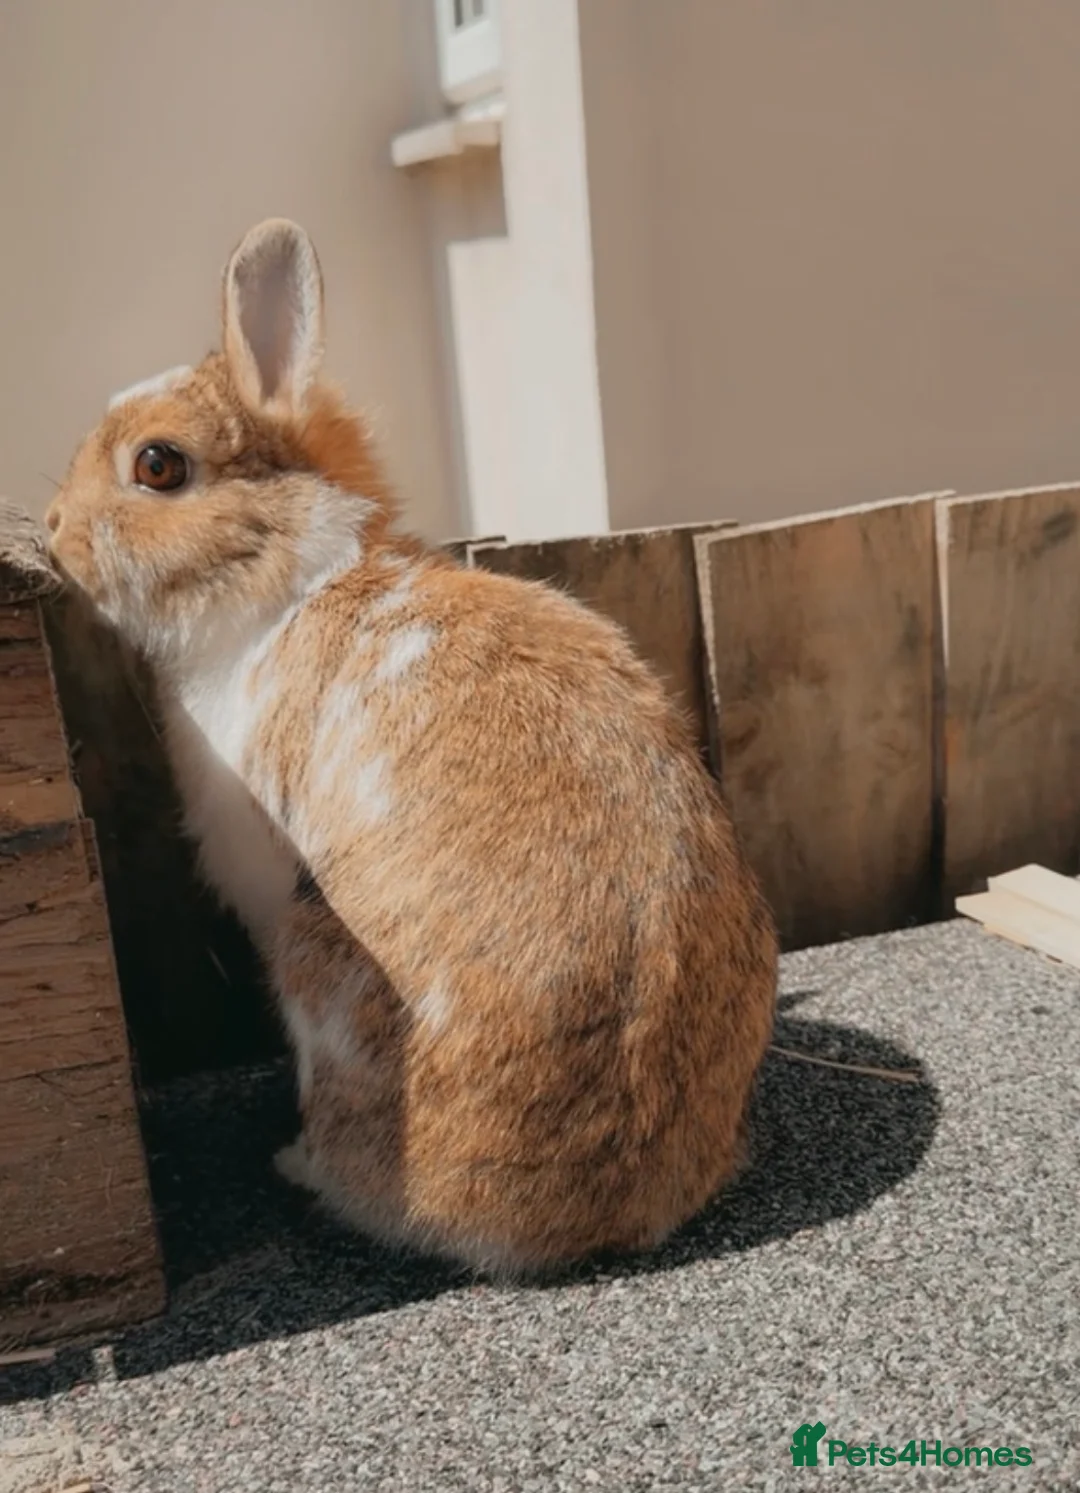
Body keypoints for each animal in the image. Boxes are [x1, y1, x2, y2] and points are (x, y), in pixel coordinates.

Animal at [45, 218, 779, 1275]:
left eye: (158, 465)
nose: (54, 532)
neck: (292, 580)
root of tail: (579, 1220)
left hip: (316, 965)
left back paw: (300, 1161)